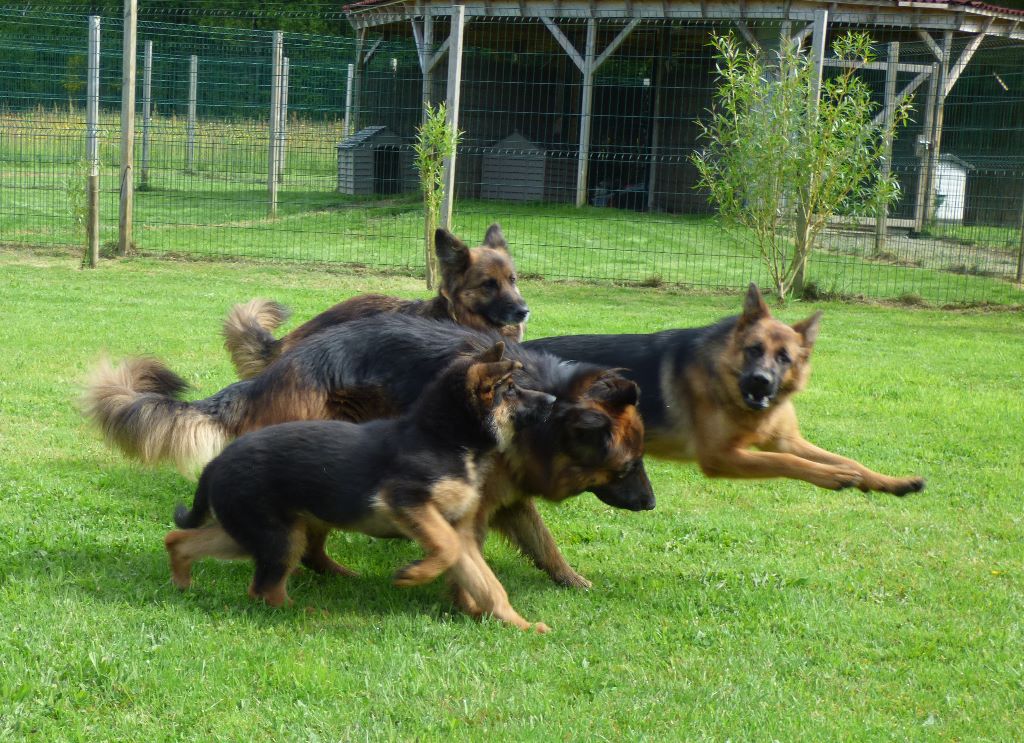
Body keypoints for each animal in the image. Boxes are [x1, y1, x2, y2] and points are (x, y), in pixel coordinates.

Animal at [164, 343, 557, 634]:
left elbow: (488, 585)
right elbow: (444, 549)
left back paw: (182, 580)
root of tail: (215, 464)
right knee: (265, 590)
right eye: (512, 391)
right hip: (279, 537)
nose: (553, 402)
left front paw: (518, 624)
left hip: (256, 531)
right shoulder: (406, 503)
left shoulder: (458, 530)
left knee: (181, 541)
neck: (445, 439)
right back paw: (308, 614)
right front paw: (414, 575)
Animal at [524, 284, 925, 501]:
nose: (761, 381)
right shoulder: (722, 456)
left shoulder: (786, 440)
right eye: (753, 349)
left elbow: (849, 460)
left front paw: (892, 482)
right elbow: (786, 463)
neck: (725, 383)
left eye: (784, 357)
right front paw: (832, 477)